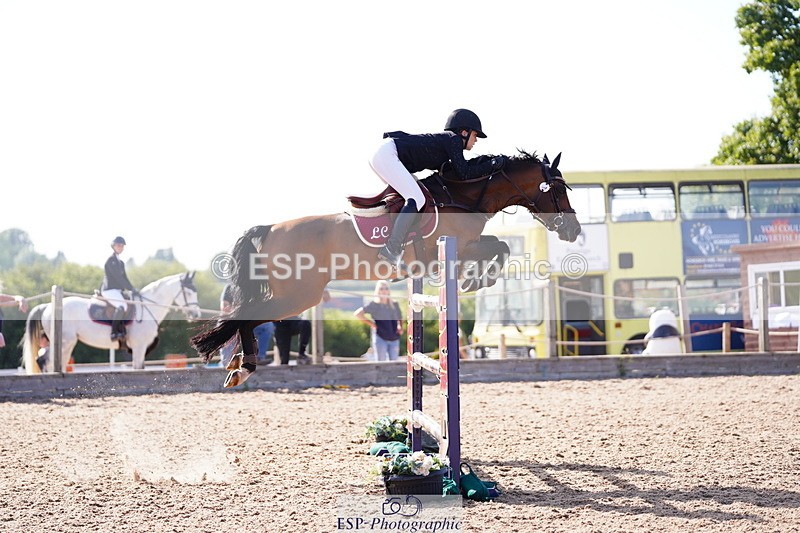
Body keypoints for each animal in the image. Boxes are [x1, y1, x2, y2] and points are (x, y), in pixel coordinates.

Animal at [22, 272, 201, 374]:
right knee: (48, 361)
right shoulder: (139, 346)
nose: (196, 314)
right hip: (66, 342)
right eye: (188, 292)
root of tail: (48, 305)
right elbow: (137, 368)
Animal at [191, 151, 582, 387]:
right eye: (558, 188)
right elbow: (498, 248)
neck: (465, 197)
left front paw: (474, 279)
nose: (574, 230)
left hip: (292, 295)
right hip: (300, 296)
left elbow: (499, 246)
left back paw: (238, 363)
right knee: (245, 317)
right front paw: (474, 281)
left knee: (243, 316)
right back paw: (244, 367)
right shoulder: (455, 245)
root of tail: (270, 228)